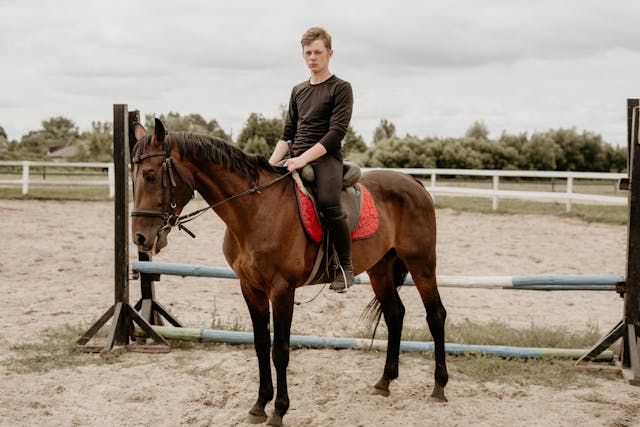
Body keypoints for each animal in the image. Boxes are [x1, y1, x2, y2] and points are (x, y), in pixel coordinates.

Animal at [130, 118, 448, 426]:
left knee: (436, 315)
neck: (255, 210)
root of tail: (412, 181)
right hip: (380, 269)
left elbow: (280, 350)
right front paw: (259, 406)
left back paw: (439, 387)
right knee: (395, 315)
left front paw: (279, 411)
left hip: (421, 263)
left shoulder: (282, 289)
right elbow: (261, 345)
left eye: (150, 175)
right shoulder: (250, 288)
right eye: (133, 178)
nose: (140, 238)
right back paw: (385, 382)